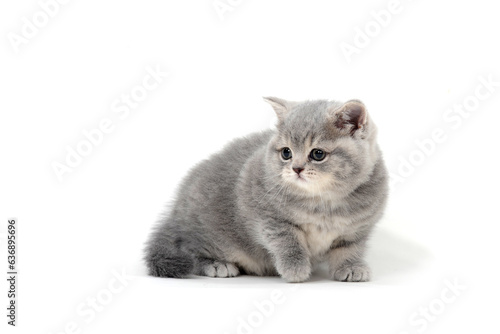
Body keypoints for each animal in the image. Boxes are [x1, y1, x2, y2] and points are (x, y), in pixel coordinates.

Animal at [143, 96, 388, 282]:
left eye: (318, 154)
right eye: (286, 152)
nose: (296, 168)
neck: (323, 201)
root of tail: (176, 210)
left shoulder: (357, 229)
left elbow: (350, 249)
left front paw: (351, 267)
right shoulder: (267, 217)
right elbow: (288, 242)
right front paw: (295, 269)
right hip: (211, 231)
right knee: (190, 249)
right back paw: (216, 264)